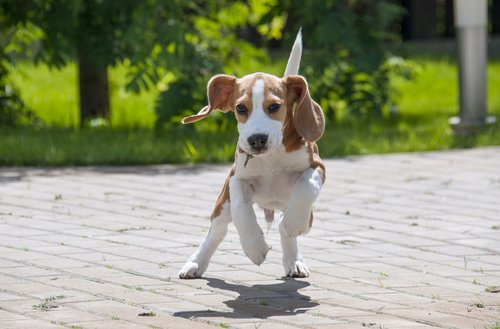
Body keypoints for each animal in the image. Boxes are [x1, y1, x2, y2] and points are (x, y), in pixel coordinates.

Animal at [179, 30, 324, 276]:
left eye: (274, 107)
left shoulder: (317, 166)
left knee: (286, 227)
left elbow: (306, 185)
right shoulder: (236, 177)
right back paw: (195, 263)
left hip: (308, 217)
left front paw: (294, 221)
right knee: (217, 230)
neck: (271, 158)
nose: (257, 139)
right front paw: (254, 247)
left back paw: (293, 258)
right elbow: (241, 209)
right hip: (222, 205)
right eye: (240, 108)